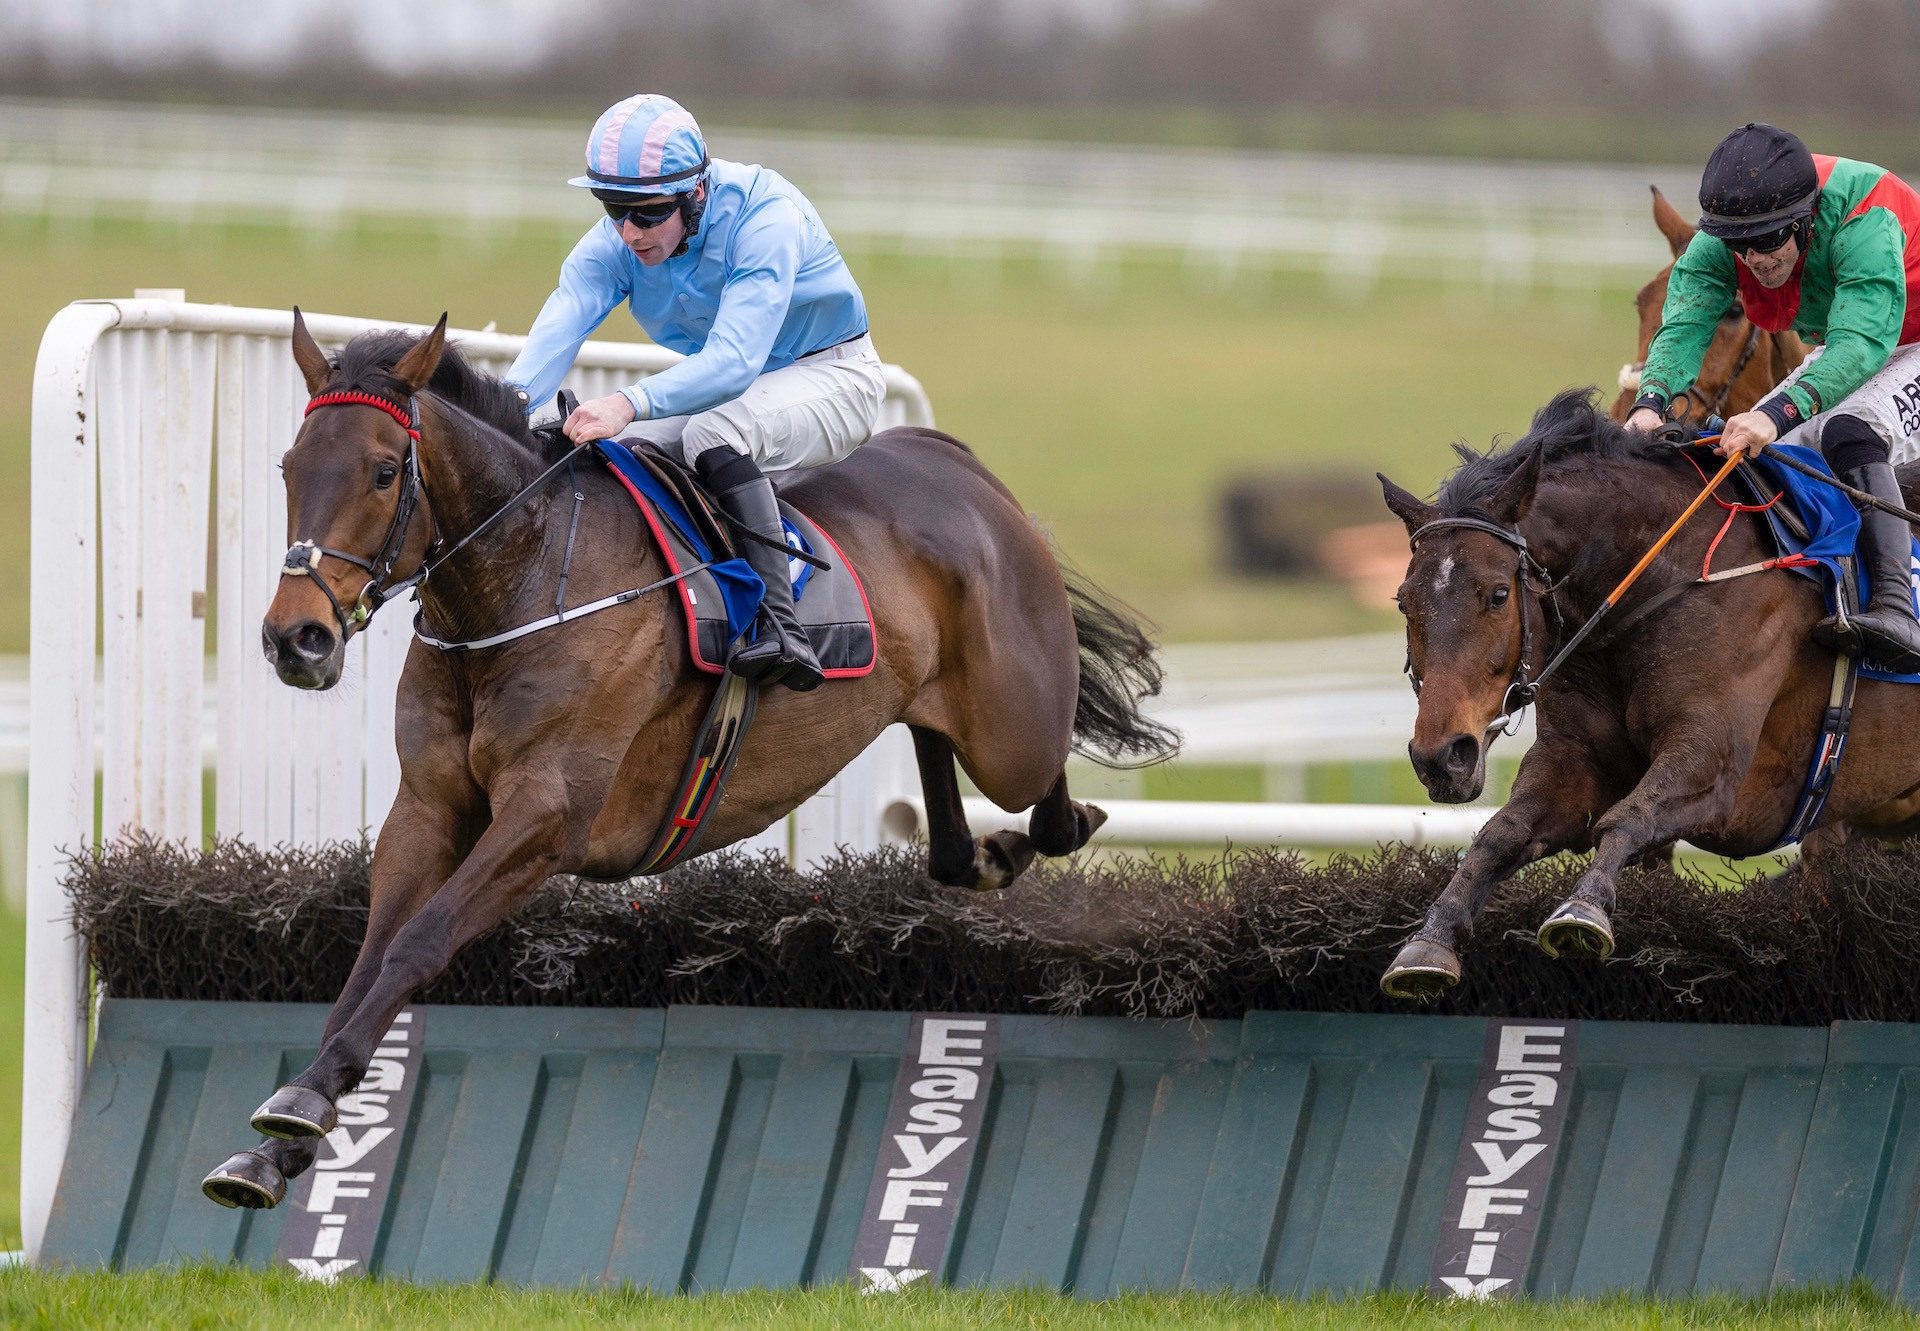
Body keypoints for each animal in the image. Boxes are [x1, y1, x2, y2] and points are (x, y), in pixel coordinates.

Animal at [202, 314, 1175, 1206]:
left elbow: (419, 942)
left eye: (381, 470)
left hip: (1012, 727)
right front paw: (280, 1137)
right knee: (941, 796)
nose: (297, 637)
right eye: (289, 467)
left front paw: (303, 1106)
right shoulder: (429, 806)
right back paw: (982, 853)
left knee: (1046, 788)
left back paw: (1043, 829)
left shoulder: (548, 818)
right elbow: (369, 957)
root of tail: (955, 461)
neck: (522, 581)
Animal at [1382, 389, 1920, 998]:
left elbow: (1631, 815)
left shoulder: (1716, 763)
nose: (1440, 758)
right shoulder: (1576, 759)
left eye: (1498, 594)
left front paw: (1583, 911)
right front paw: (1429, 940)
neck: (1659, 578)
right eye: (1403, 601)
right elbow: (1500, 833)